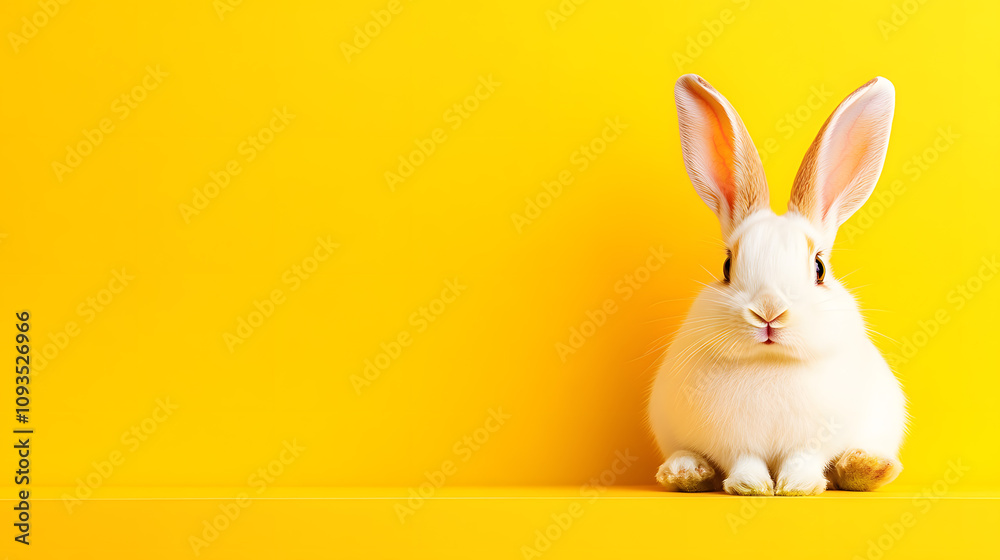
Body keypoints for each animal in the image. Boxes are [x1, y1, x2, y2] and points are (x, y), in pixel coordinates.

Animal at [646, 75, 907, 496]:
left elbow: (804, 459)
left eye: (819, 268)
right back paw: (685, 472)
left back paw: (869, 466)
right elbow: (744, 461)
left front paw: (796, 487)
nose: (769, 311)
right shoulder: (733, 441)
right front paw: (751, 486)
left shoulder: (814, 440)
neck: (769, 363)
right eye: (727, 266)